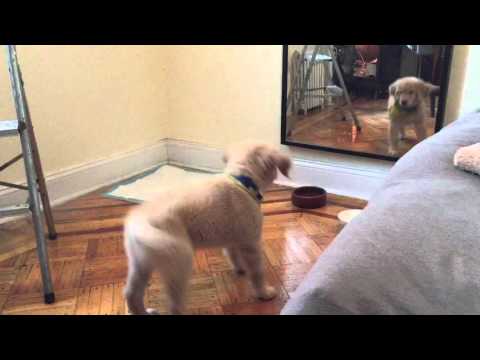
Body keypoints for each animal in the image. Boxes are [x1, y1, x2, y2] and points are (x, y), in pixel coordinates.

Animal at [122, 142, 290, 314]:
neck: (241, 180)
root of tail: (138, 222)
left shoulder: (233, 238)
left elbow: (233, 255)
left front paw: (240, 269)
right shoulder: (251, 243)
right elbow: (257, 272)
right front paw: (264, 293)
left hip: (140, 263)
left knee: (131, 293)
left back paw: (143, 311)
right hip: (179, 264)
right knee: (174, 306)